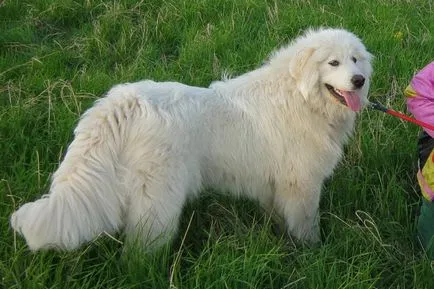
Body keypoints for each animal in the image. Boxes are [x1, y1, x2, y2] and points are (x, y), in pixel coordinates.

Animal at [12, 28, 372, 251]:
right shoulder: (303, 186)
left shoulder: (278, 186)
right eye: (333, 62)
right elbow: (307, 227)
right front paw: (313, 253)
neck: (301, 96)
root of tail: (125, 102)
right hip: (160, 202)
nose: (359, 80)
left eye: (355, 59)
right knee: (140, 252)